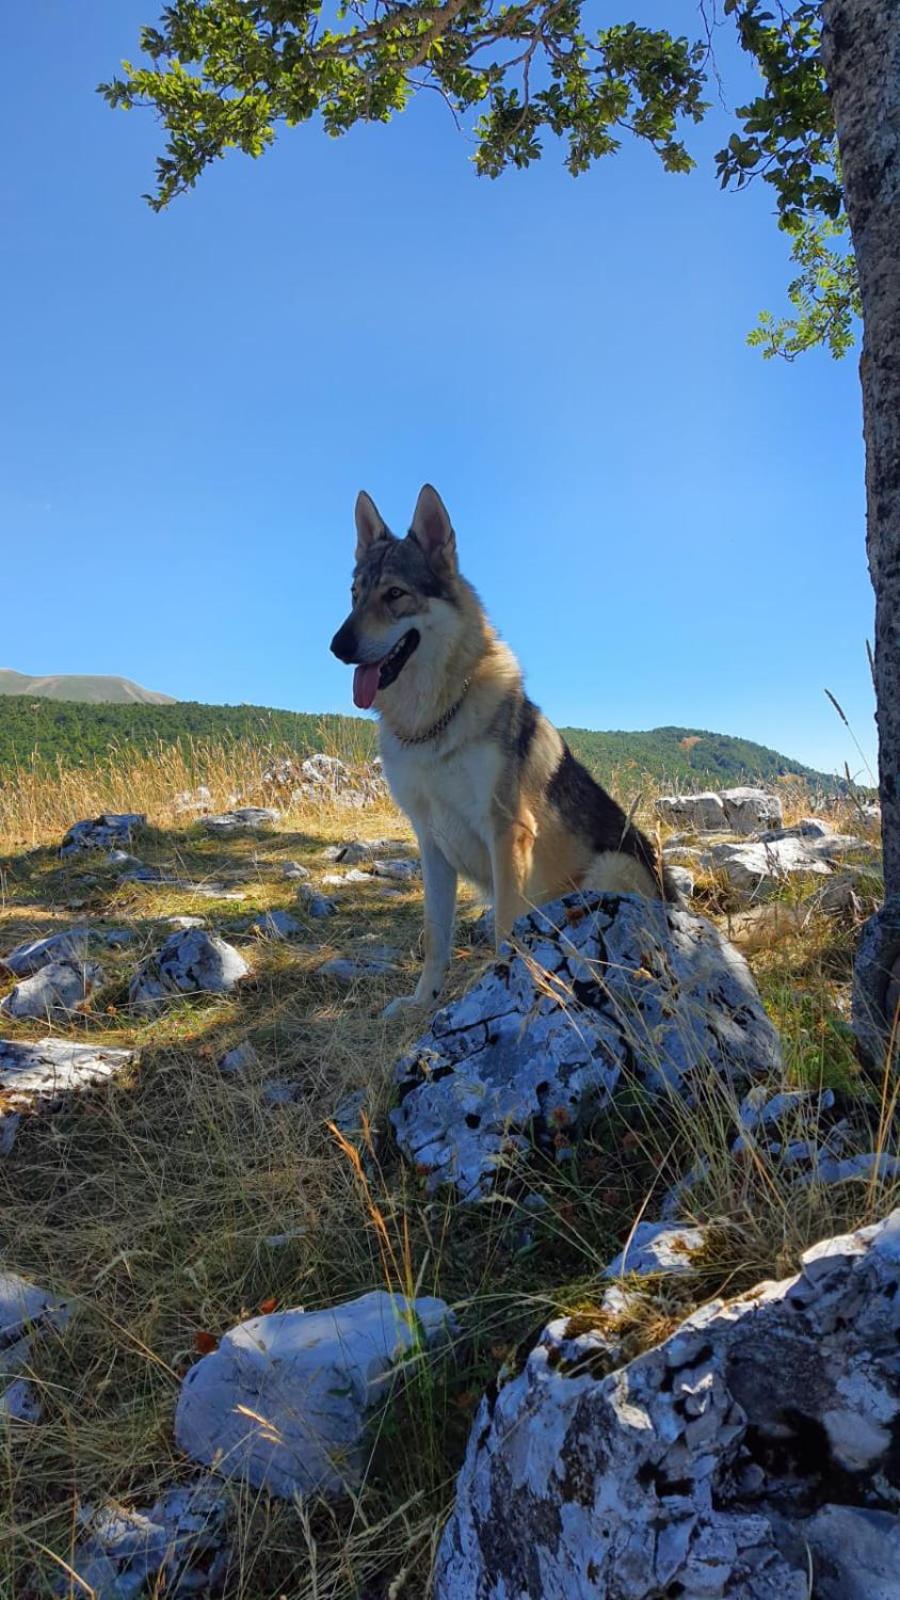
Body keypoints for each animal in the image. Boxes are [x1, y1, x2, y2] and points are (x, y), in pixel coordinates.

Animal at [330, 485, 677, 1016]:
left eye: (394, 595)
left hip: (610, 867)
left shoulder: (507, 833)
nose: (337, 645)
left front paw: (497, 991)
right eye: (354, 597)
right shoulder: (430, 842)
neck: (432, 726)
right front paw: (423, 1002)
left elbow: (503, 932)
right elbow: (435, 937)